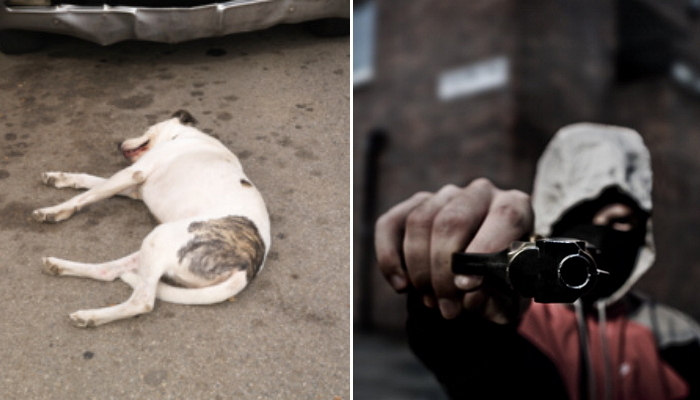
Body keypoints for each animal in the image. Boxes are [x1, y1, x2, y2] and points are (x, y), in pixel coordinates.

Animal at [34, 110, 272, 328]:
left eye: (147, 128)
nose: (118, 143)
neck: (184, 135)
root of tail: (247, 268)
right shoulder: (134, 188)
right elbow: (89, 180)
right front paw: (59, 178)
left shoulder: (134, 173)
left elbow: (88, 194)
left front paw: (54, 210)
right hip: (153, 248)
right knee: (108, 272)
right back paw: (58, 266)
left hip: (159, 238)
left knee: (143, 302)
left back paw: (91, 316)